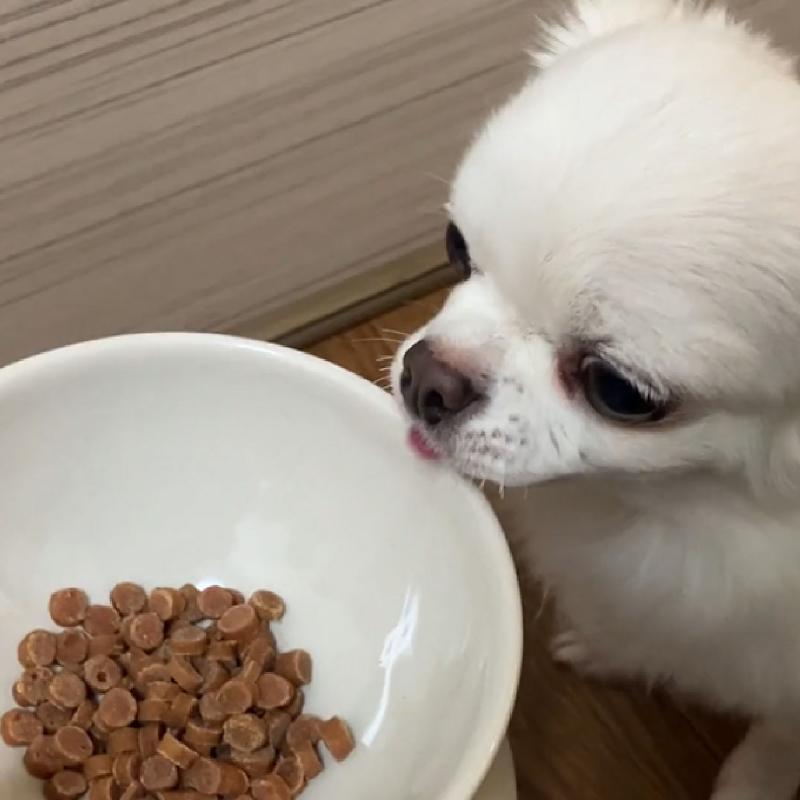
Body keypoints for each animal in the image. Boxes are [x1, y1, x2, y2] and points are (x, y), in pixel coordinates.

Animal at [390, 1, 800, 797]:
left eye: (619, 392)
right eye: (456, 247)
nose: (427, 377)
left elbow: (778, 735)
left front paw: (754, 783)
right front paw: (610, 649)